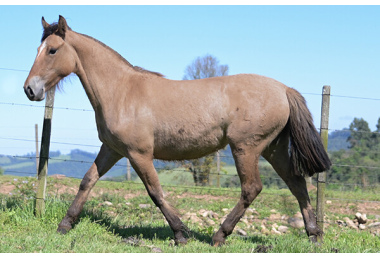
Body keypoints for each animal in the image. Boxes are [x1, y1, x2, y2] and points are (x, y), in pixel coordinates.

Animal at [23, 15, 330, 246]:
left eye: (52, 50)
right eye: (37, 50)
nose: (30, 89)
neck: (121, 91)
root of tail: (284, 89)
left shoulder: (139, 154)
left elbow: (155, 192)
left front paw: (181, 234)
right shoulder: (112, 150)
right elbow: (87, 182)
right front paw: (65, 224)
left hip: (247, 148)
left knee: (252, 188)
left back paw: (219, 236)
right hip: (272, 148)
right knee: (296, 183)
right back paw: (313, 235)